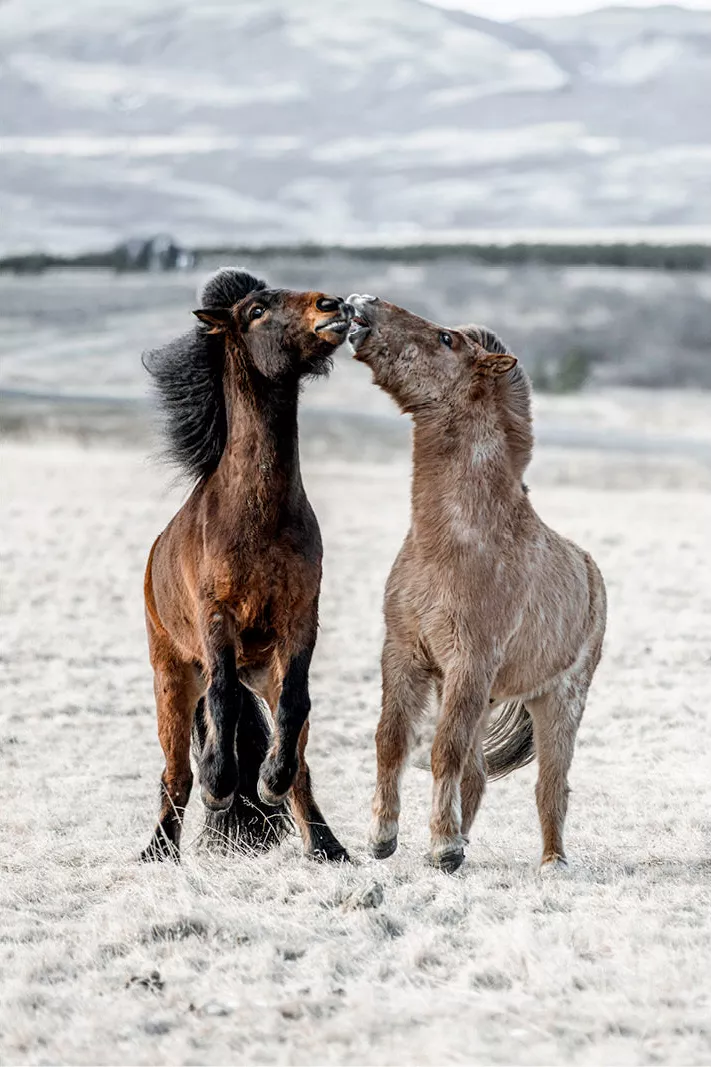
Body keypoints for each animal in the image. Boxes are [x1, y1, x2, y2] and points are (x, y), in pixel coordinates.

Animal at [140, 268, 352, 863]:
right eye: (256, 310)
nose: (334, 306)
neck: (256, 517)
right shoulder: (218, 619)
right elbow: (223, 699)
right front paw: (221, 786)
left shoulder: (300, 621)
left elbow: (296, 707)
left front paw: (267, 784)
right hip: (172, 679)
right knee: (176, 772)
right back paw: (159, 851)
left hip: (264, 671)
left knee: (298, 758)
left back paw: (327, 847)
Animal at [348, 295, 607, 873]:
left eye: (446, 339)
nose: (359, 305)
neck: (451, 544)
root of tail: (590, 570)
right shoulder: (404, 655)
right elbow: (391, 742)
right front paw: (383, 838)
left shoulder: (469, 662)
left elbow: (440, 751)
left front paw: (441, 846)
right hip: (480, 696)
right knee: (478, 773)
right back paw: (464, 840)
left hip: (558, 701)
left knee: (550, 785)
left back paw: (550, 862)